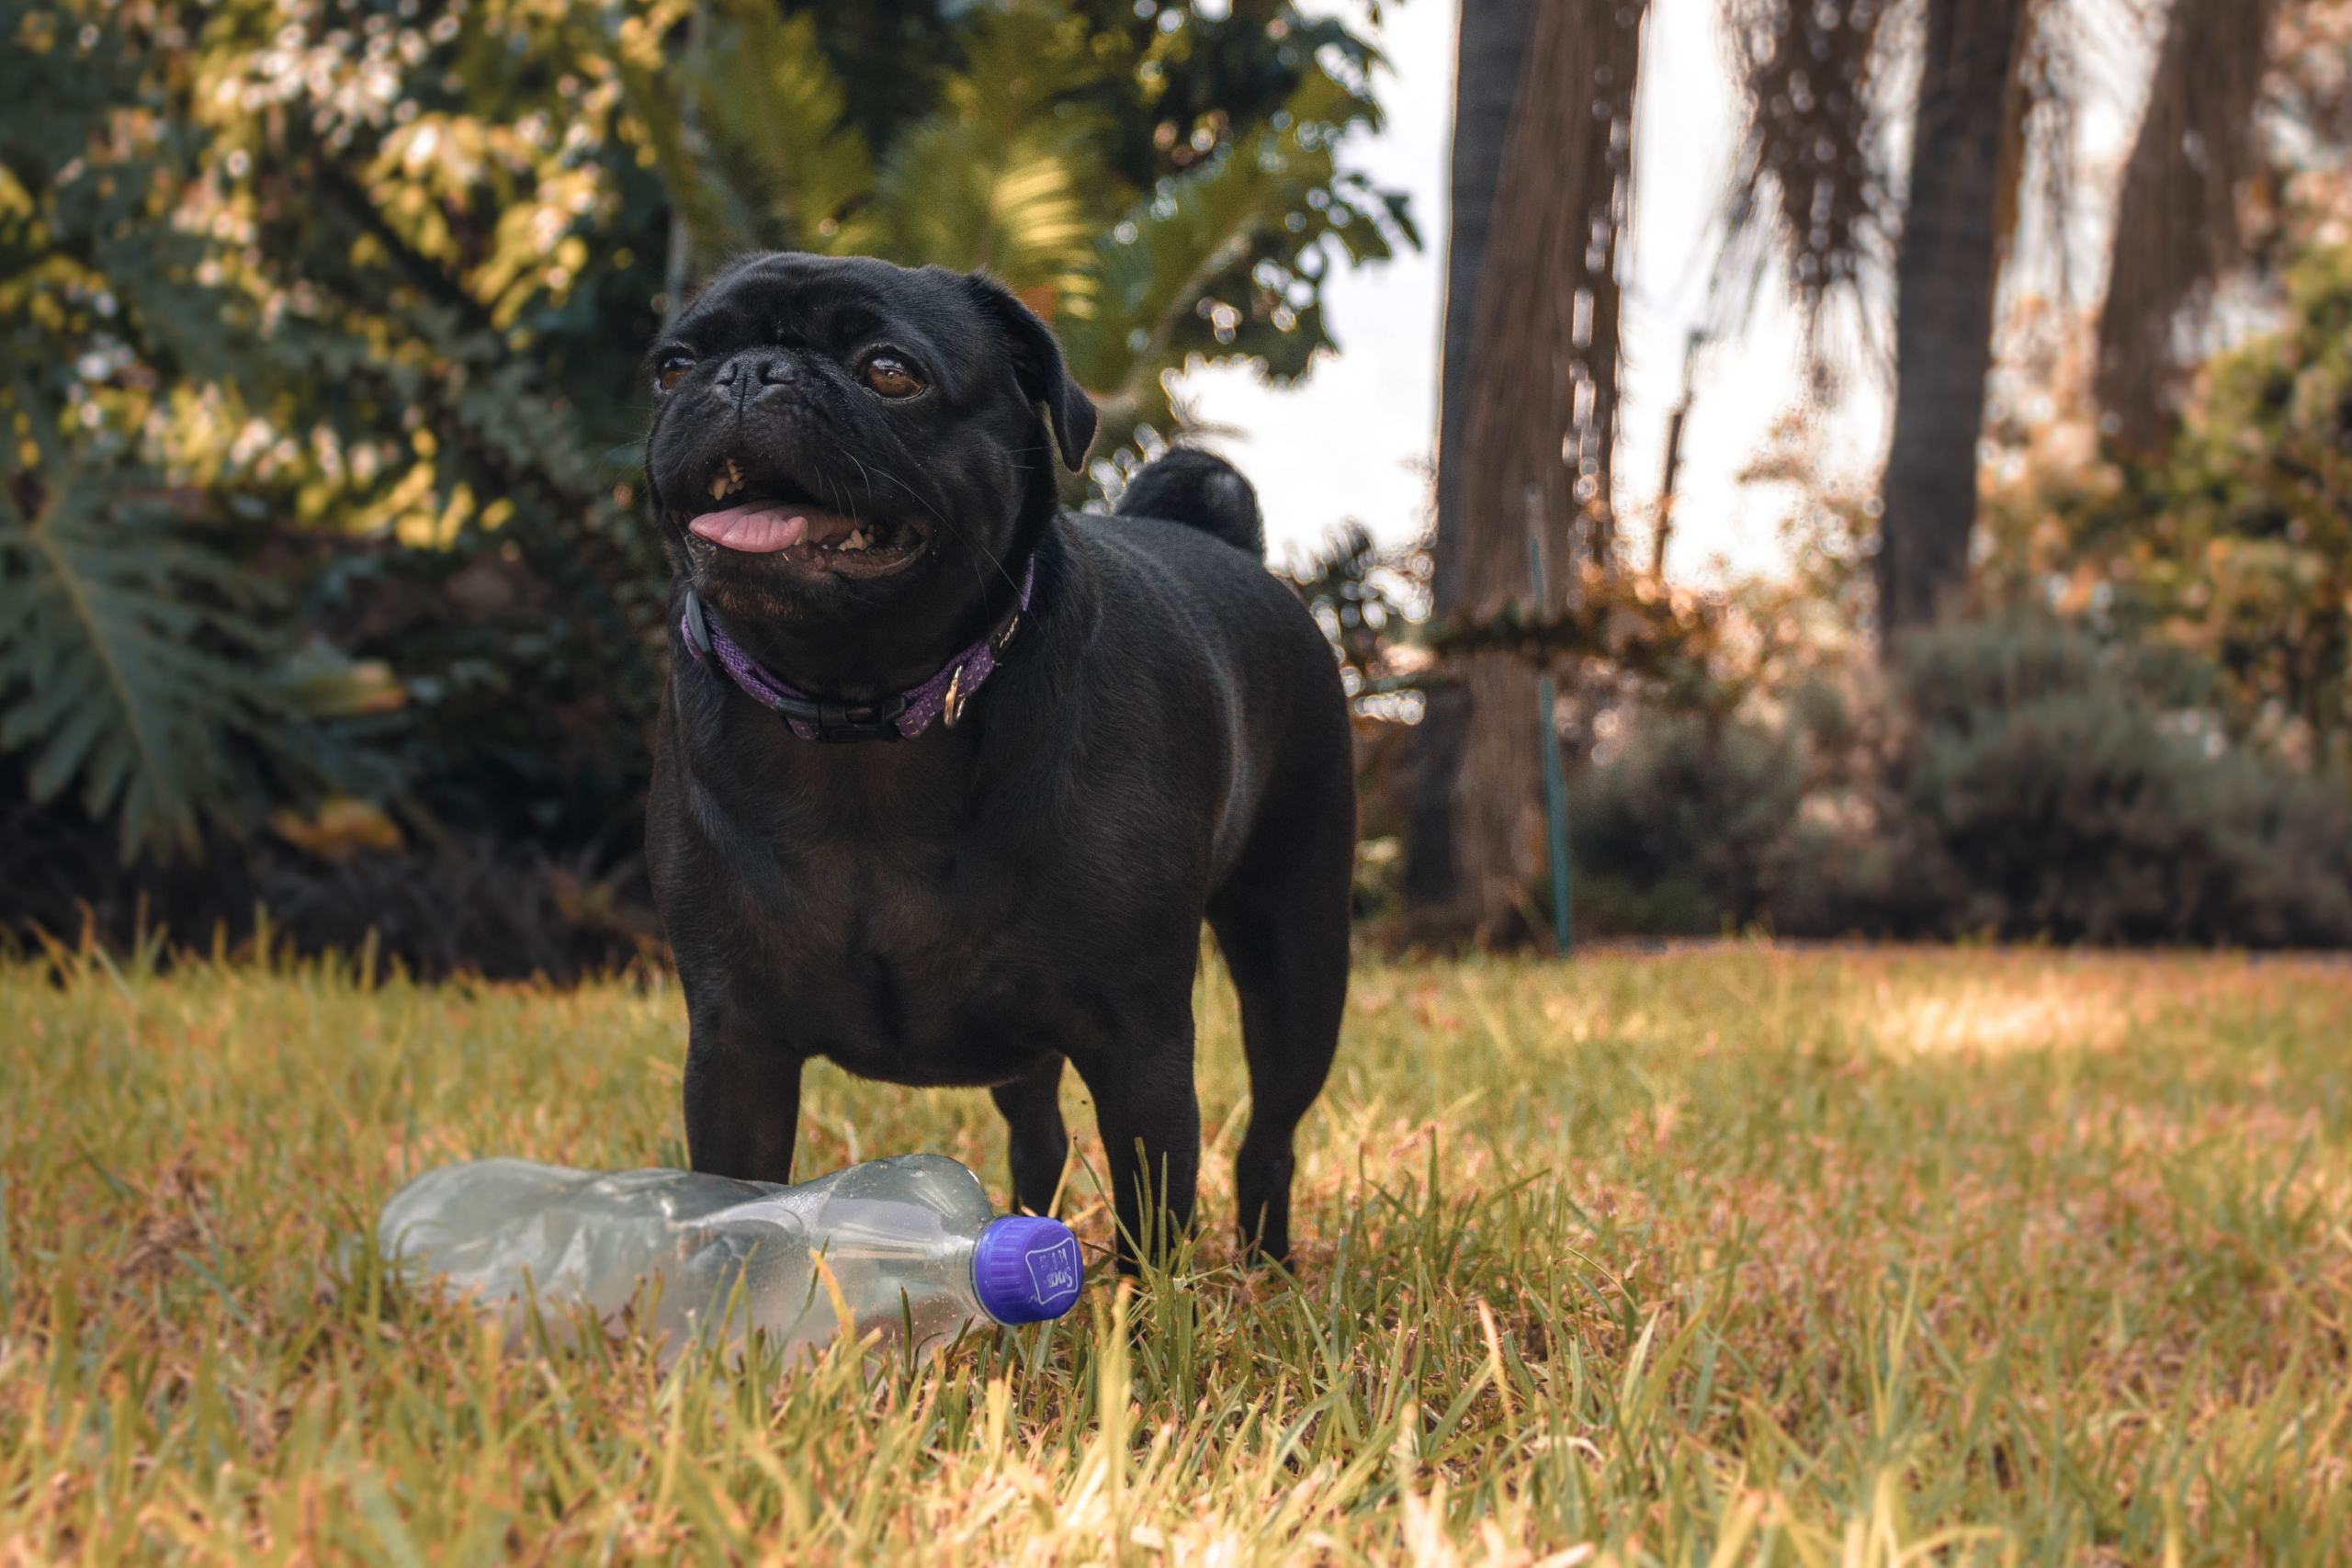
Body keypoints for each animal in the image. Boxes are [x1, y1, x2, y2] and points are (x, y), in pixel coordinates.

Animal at [639, 254, 1363, 1259]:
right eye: (672, 368)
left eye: (890, 371)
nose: (748, 373)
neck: (859, 716)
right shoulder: (734, 1044)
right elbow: (733, 1199)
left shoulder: (1138, 1042)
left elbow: (1154, 1210)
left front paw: (1142, 1307)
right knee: (1040, 1134)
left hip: (1295, 956)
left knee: (1270, 1133)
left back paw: (1265, 1264)